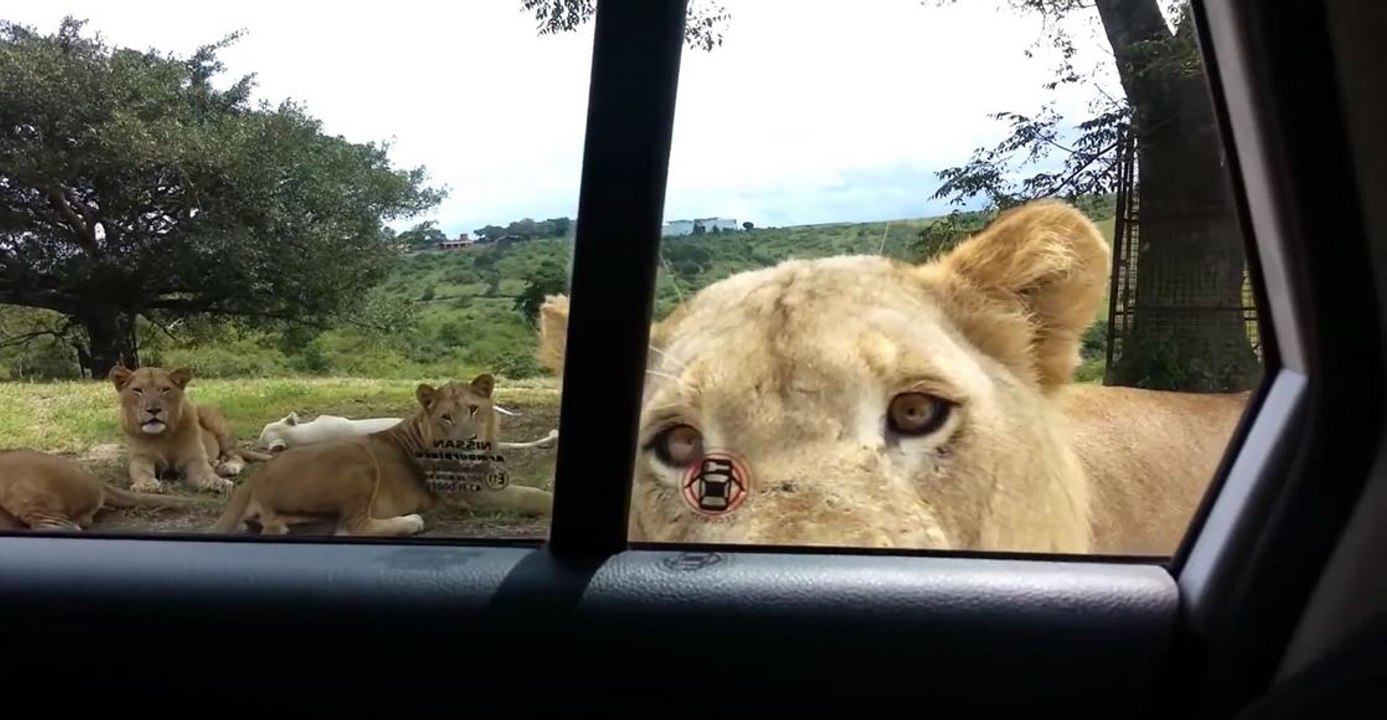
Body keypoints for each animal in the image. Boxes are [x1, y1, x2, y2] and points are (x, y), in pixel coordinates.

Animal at [109, 365, 273, 495]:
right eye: (137, 390)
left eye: (165, 390)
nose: (153, 410)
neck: (162, 436)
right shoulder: (140, 458)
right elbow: (142, 473)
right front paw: (147, 485)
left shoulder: (194, 458)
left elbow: (206, 474)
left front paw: (219, 482)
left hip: (213, 420)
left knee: (236, 455)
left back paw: (228, 467)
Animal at [210, 374, 554, 537]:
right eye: (446, 417)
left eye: (473, 409)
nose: (467, 442)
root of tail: (254, 480)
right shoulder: (469, 495)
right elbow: (530, 495)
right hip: (358, 459)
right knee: (351, 527)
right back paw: (411, 521)